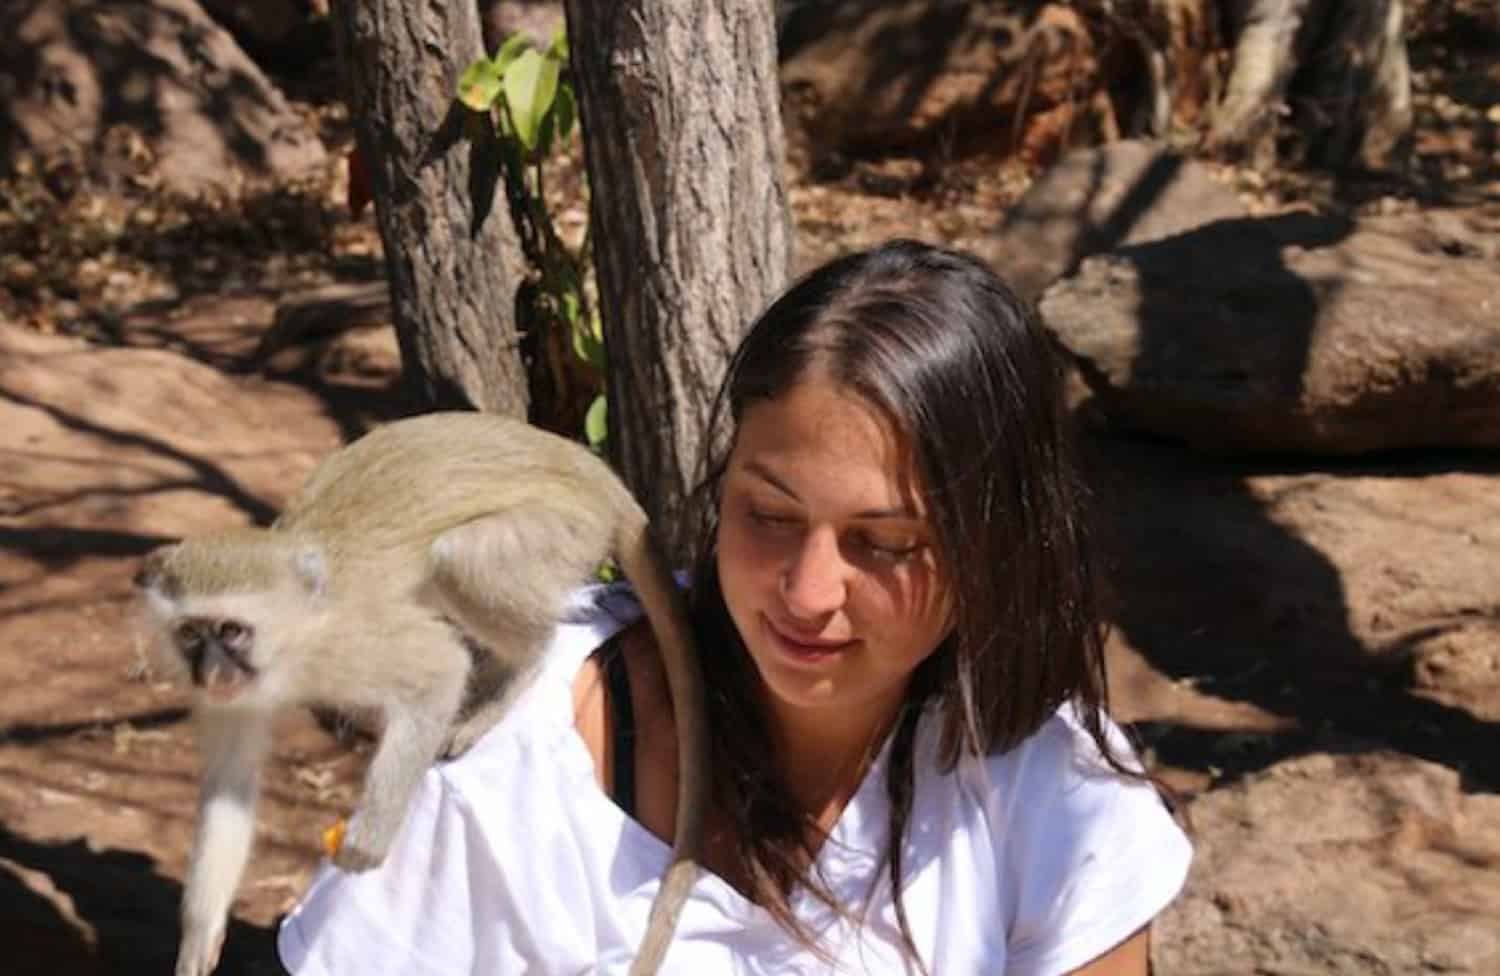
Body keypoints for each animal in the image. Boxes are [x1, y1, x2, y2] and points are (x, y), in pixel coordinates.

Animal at [132, 413, 705, 976]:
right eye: (191, 634)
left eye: (231, 632)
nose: (210, 672)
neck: (290, 645)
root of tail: (592, 472)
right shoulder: (235, 701)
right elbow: (230, 782)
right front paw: (200, 938)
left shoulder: (345, 644)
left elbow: (440, 666)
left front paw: (371, 835)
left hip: (564, 531)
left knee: (462, 559)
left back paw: (515, 674)